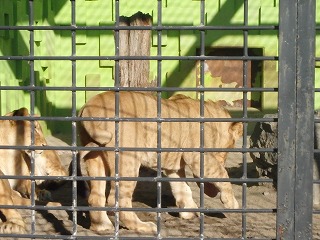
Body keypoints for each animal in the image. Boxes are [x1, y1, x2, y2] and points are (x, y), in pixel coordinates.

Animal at [78, 91, 242, 233]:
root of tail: (90, 107)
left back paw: (102, 227)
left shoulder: (174, 166)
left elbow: (182, 187)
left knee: (95, 196)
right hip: (128, 160)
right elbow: (222, 173)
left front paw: (189, 212)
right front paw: (231, 203)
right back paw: (143, 226)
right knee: (116, 199)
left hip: (95, 158)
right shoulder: (198, 156)